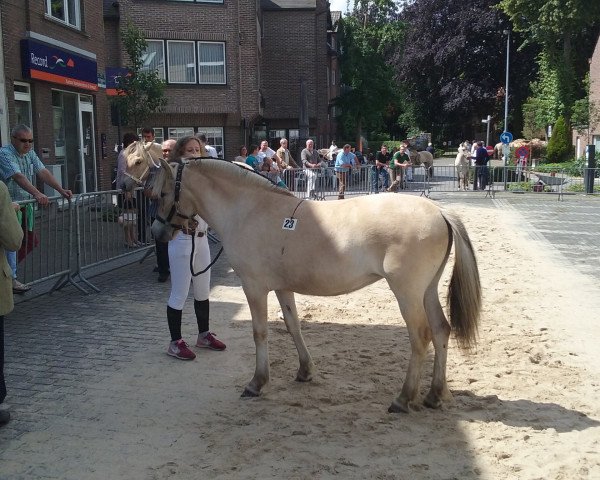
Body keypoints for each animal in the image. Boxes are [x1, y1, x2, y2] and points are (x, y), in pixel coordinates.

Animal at [127, 155, 482, 412]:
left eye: (161, 194)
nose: (157, 232)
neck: (248, 210)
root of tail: (440, 212)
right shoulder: (283, 287)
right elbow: (293, 325)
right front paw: (305, 371)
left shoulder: (255, 287)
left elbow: (260, 332)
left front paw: (257, 383)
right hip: (427, 290)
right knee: (441, 330)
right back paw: (435, 395)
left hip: (408, 293)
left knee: (421, 337)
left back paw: (403, 398)